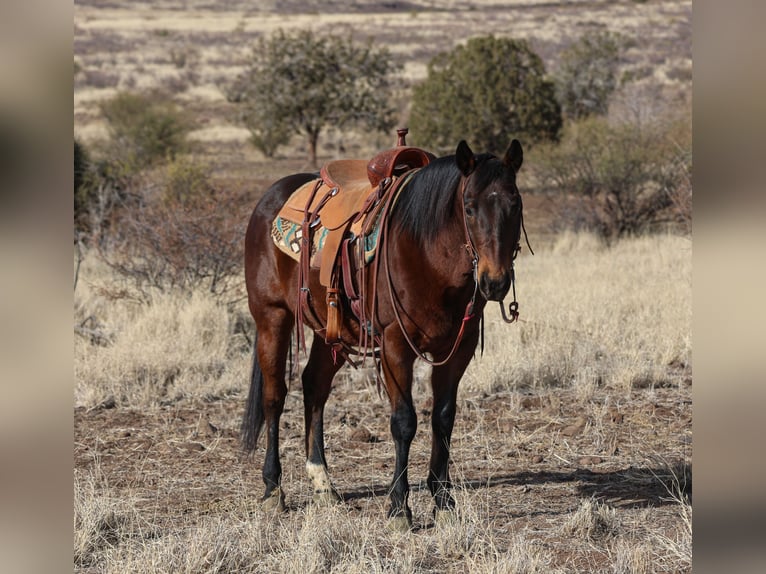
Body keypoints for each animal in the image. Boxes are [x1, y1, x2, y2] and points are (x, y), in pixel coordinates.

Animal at [244, 138, 528, 532]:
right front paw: (398, 508)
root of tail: (269, 200)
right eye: (469, 207)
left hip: (331, 332)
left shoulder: (459, 349)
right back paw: (273, 489)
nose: (495, 282)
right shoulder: (396, 347)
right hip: (272, 317)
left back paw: (323, 484)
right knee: (274, 397)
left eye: (515, 204)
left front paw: (444, 501)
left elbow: (443, 418)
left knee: (314, 387)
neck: (425, 251)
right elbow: (404, 422)